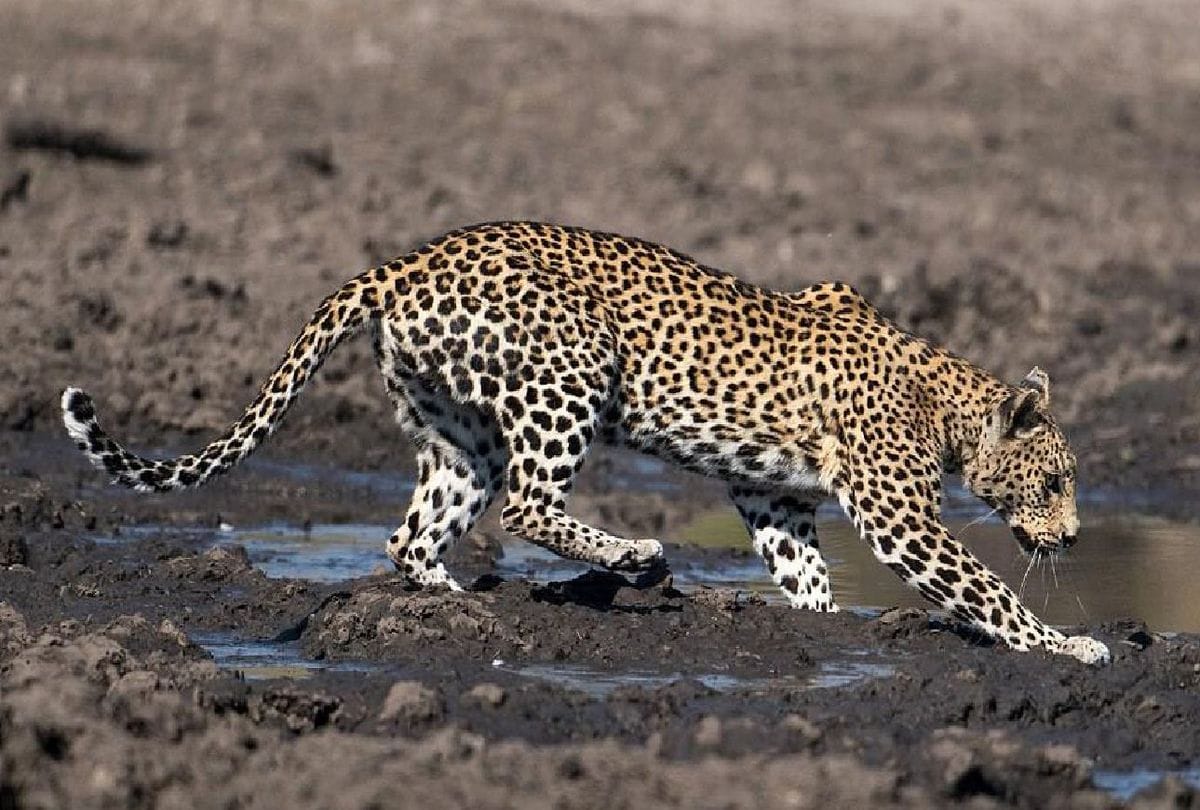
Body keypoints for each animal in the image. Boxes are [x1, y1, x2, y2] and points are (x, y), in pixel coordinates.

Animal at [61, 221, 1110, 665]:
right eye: (1056, 480)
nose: (1073, 537)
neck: (951, 405)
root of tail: (405, 260)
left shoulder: (774, 496)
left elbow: (803, 570)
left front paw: (819, 626)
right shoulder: (898, 516)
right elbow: (984, 586)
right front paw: (1066, 643)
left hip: (461, 433)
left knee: (415, 531)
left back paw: (453, 600)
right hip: (575, 368)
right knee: (528, 505)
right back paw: (636, 558)